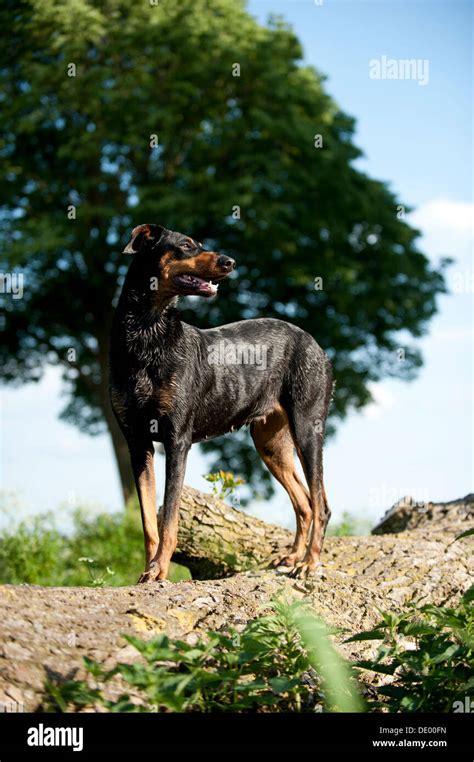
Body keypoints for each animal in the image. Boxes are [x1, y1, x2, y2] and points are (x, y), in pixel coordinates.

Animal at [110, 223, 334, 580]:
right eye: (187, 245)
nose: (231, 262)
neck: (148, 331)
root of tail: (316, 345)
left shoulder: (177, 440)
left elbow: (169, 516)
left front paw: (160, 570)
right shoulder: (137, 442)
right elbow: (148, 521)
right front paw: (148, 571)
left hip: (307, 428)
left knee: (321, 503)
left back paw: (309, 563)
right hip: (270, 443)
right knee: (304, 503)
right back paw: (293, 557)